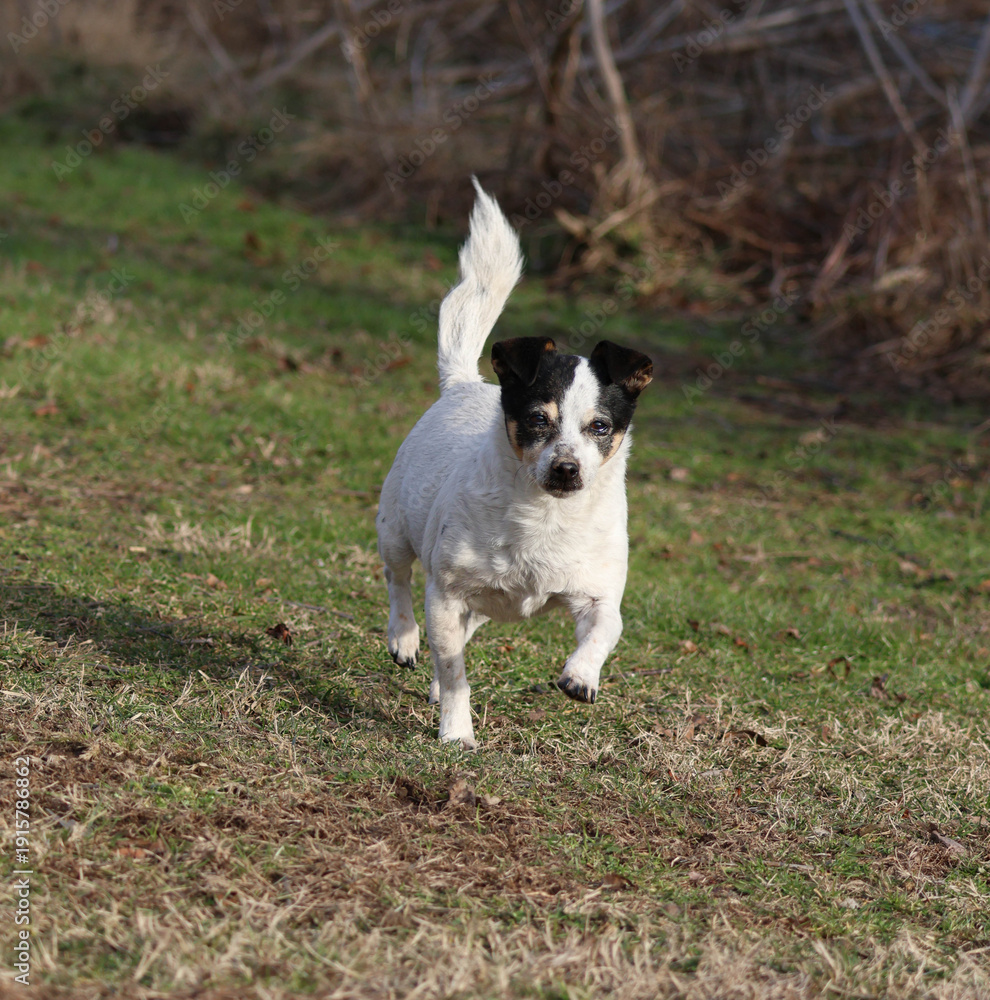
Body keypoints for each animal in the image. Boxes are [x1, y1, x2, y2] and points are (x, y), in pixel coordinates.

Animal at [376, 179, 652, 749]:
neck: (544, 517)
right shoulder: (446, 592)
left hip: (481, 601)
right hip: (395, 528)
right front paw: (457, 732)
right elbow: (455, 669)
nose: (567, 469)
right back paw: (404, 638)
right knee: (399, 581)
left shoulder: (598, 594)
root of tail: (464, 383)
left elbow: (603, 631)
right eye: (537, 419)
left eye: (600, 427)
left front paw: (581, 676)